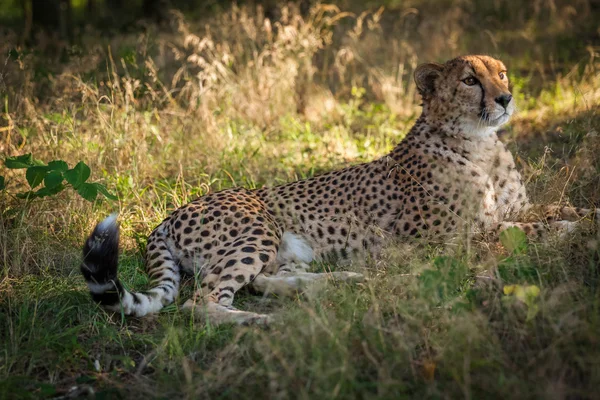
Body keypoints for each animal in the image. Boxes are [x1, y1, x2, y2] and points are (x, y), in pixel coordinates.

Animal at [81, 55, 600, 324]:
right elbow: (527, 231)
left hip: (286, 248)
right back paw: (261, 321)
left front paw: (580, 217)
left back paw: (344, 282)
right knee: (203, 302)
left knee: (264, 280)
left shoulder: (508, 212)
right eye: (471, 80)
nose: (506, 98)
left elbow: (555, 209)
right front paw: (577, 232)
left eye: (502, 73)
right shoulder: (453, 242)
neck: (480, 143)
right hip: (258, 228)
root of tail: (168, 216)